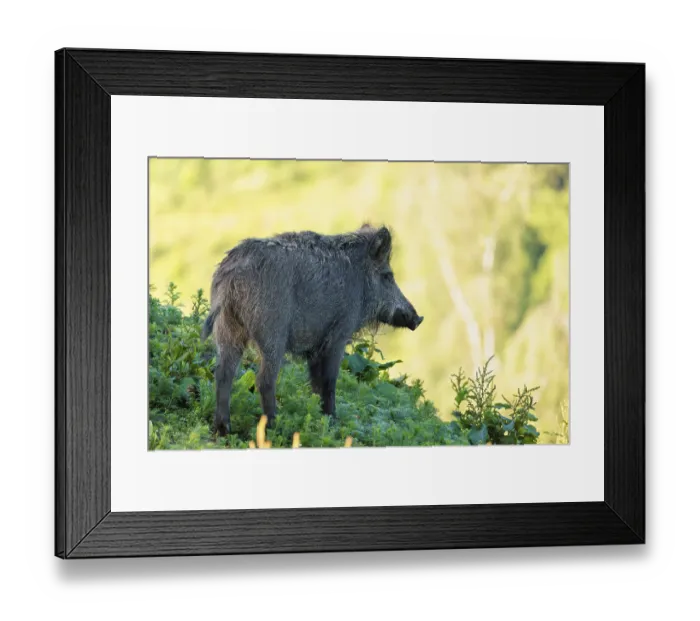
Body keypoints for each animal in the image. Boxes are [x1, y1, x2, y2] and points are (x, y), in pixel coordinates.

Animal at [201, 224, 423, 436]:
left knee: (223, 374)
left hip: (227, 329)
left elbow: (315, 383)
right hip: (272, 332)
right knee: (264, 380)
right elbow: (329, 381)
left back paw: (222, 429)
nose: (418, 319)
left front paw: (319, 418)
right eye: (388, 276)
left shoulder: (315, 347)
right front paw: (332, 422)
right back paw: (275, 425)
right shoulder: (338, 335)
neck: (360, 283)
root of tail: (231, 276)